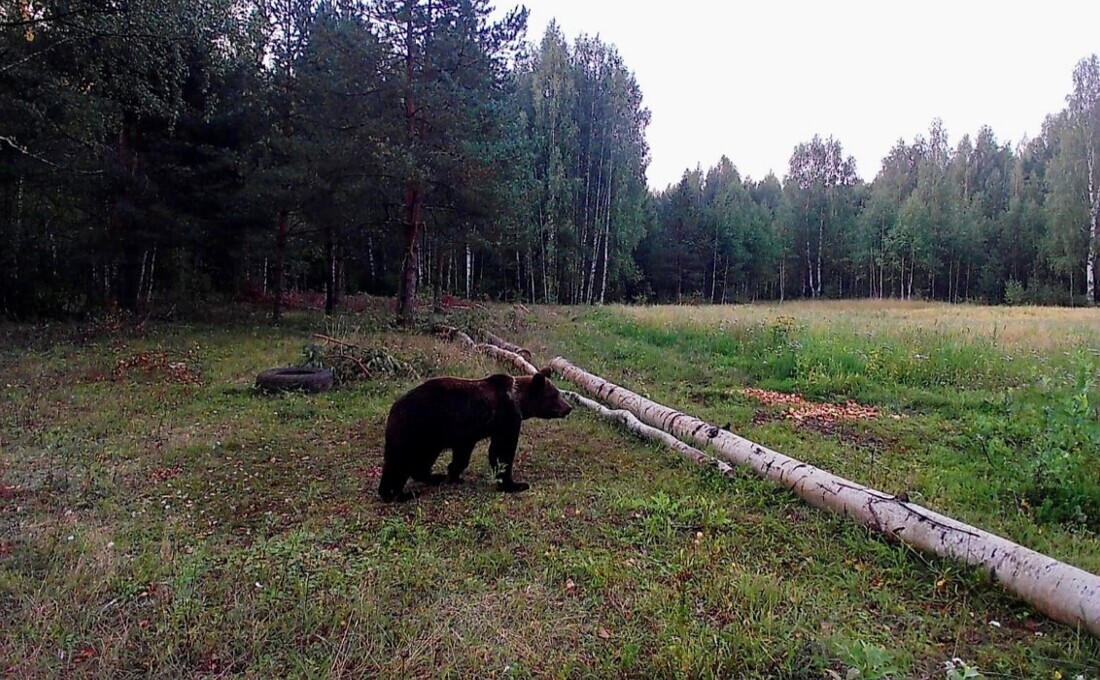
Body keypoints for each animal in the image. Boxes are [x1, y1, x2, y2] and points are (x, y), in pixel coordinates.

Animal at [378, 367, 572, 499]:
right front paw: (514, 484)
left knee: (421, 461)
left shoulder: (467, 434)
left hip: (429, 438)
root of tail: (394, 408)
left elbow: (463, 454)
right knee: (399, 461)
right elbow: (502, 451)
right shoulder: (506, 419)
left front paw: (454, 474)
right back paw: (396, 493)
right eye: (555, 395)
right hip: (414, 430)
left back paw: (434, 477)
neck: (519, 401)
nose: (569, 407)